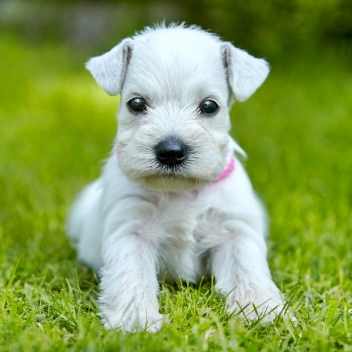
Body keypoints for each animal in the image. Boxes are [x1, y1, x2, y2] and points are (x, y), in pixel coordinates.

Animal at [68, 23, 286, 332]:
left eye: (210, 106)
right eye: (136, 103)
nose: (170, 151)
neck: (181, 190)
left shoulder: (234, 231)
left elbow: (247, 270)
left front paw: (261, 309)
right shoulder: (131, 231)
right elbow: (131, 276)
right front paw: (136, 320)